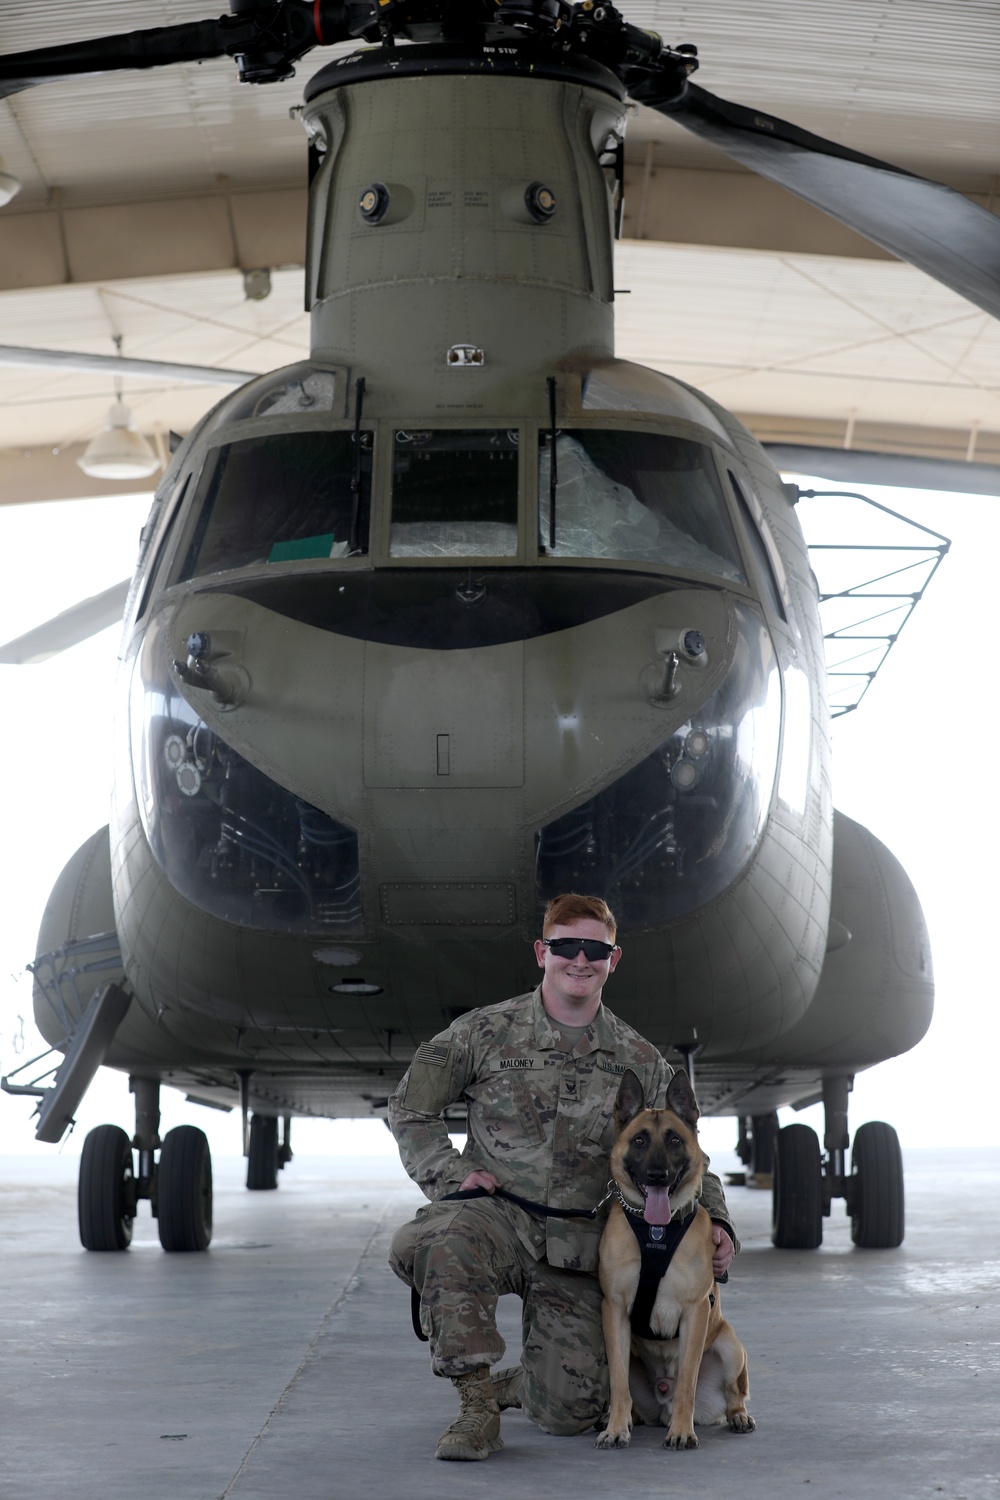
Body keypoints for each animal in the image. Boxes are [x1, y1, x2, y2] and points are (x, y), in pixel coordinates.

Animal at [593, 1068, 749, 1452]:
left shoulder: (696, 1312)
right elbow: (618, 1383)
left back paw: (738, 1416)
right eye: (639, 1141)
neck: (656, 1232)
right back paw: (624, 1418)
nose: (657, 1175)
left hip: (730, 1347)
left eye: (675, 1140)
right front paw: (615, 1429)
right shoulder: (614, 1311)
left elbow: (687, 1385)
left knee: (734, 1393)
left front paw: (681, 1431)